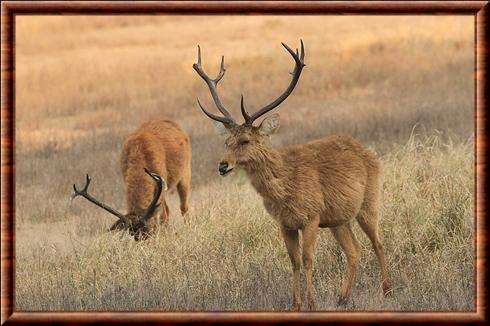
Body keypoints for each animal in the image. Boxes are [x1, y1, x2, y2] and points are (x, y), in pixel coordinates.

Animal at [193, 39, 392, 310]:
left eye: (245, 140)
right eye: (226, 141)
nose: (222, 166)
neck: (285, 188)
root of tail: (367, 150)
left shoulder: (311, 217)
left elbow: (308, 259)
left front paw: (312, 303)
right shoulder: (285, 224)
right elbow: (294, 261)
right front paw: (295, 305)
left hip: (369, 201)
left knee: (378, 242)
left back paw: (387, 289)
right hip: (339, 219)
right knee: (355, 250)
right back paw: (342, 298)